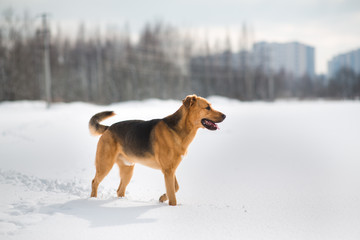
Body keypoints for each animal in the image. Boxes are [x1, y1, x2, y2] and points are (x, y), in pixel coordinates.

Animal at [89, 94, 225, 205]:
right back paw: (92, 200)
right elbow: (173, 195)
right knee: (94, 182)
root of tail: (108, 128)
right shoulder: (168, 171)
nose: (225, 115)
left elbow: (175, 188)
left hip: (128, 169)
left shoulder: (171, 170)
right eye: (207, 107)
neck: (179, 130)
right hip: (105, 165)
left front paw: (162, 198)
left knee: (119, 190)